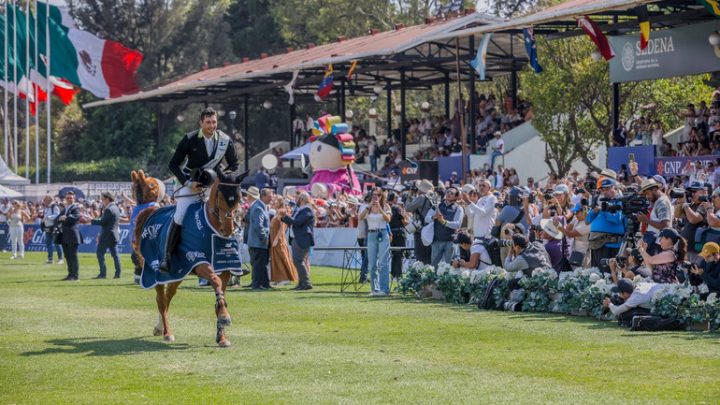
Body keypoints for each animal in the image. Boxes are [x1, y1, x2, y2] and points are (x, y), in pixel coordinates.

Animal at [130, 170, 242, 348]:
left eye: (239, 196)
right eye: (220, 196)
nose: (228, 229)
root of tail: (151, 212)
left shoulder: (224, 269)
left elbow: (220, 292)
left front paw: (222, 336)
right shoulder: (198, 261)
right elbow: (215, 282)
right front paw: (225, 317)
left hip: (177, 273)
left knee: (167, 297)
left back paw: (159, 327)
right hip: (156, 272)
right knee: (161, 300)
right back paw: (167, 333)